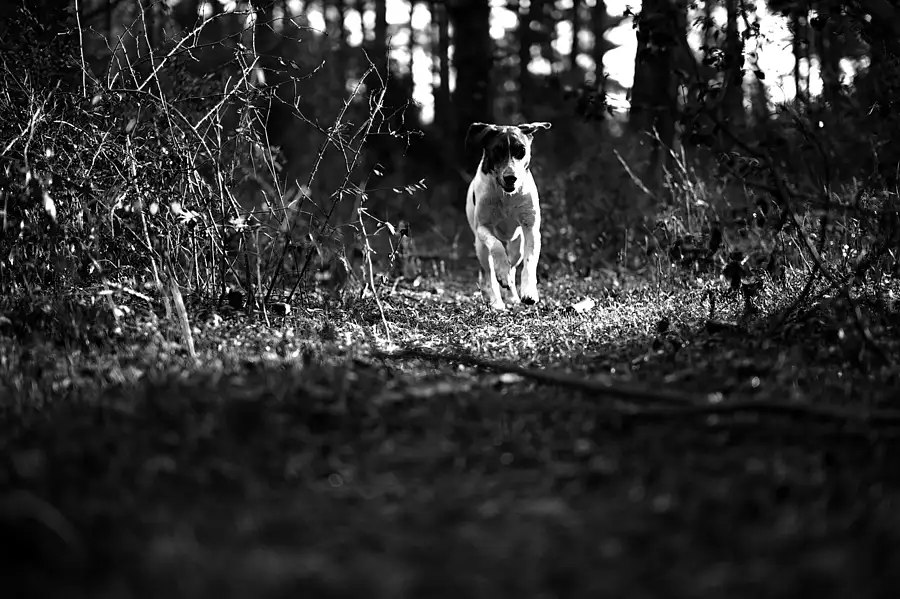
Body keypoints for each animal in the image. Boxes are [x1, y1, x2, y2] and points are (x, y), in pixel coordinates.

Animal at [465, 121, 552, 310]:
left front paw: (529, 292)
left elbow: (530, 261)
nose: (511, 177)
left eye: (522, 150)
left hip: (516, 245)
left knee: (514, 263)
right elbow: (496, 246)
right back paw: (497, 300)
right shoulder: (483, 227)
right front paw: (502, 273)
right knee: (489, 272)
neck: (506, 196)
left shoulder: (530, 228)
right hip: (480, 248)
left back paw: (512, 296)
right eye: (497, 150)